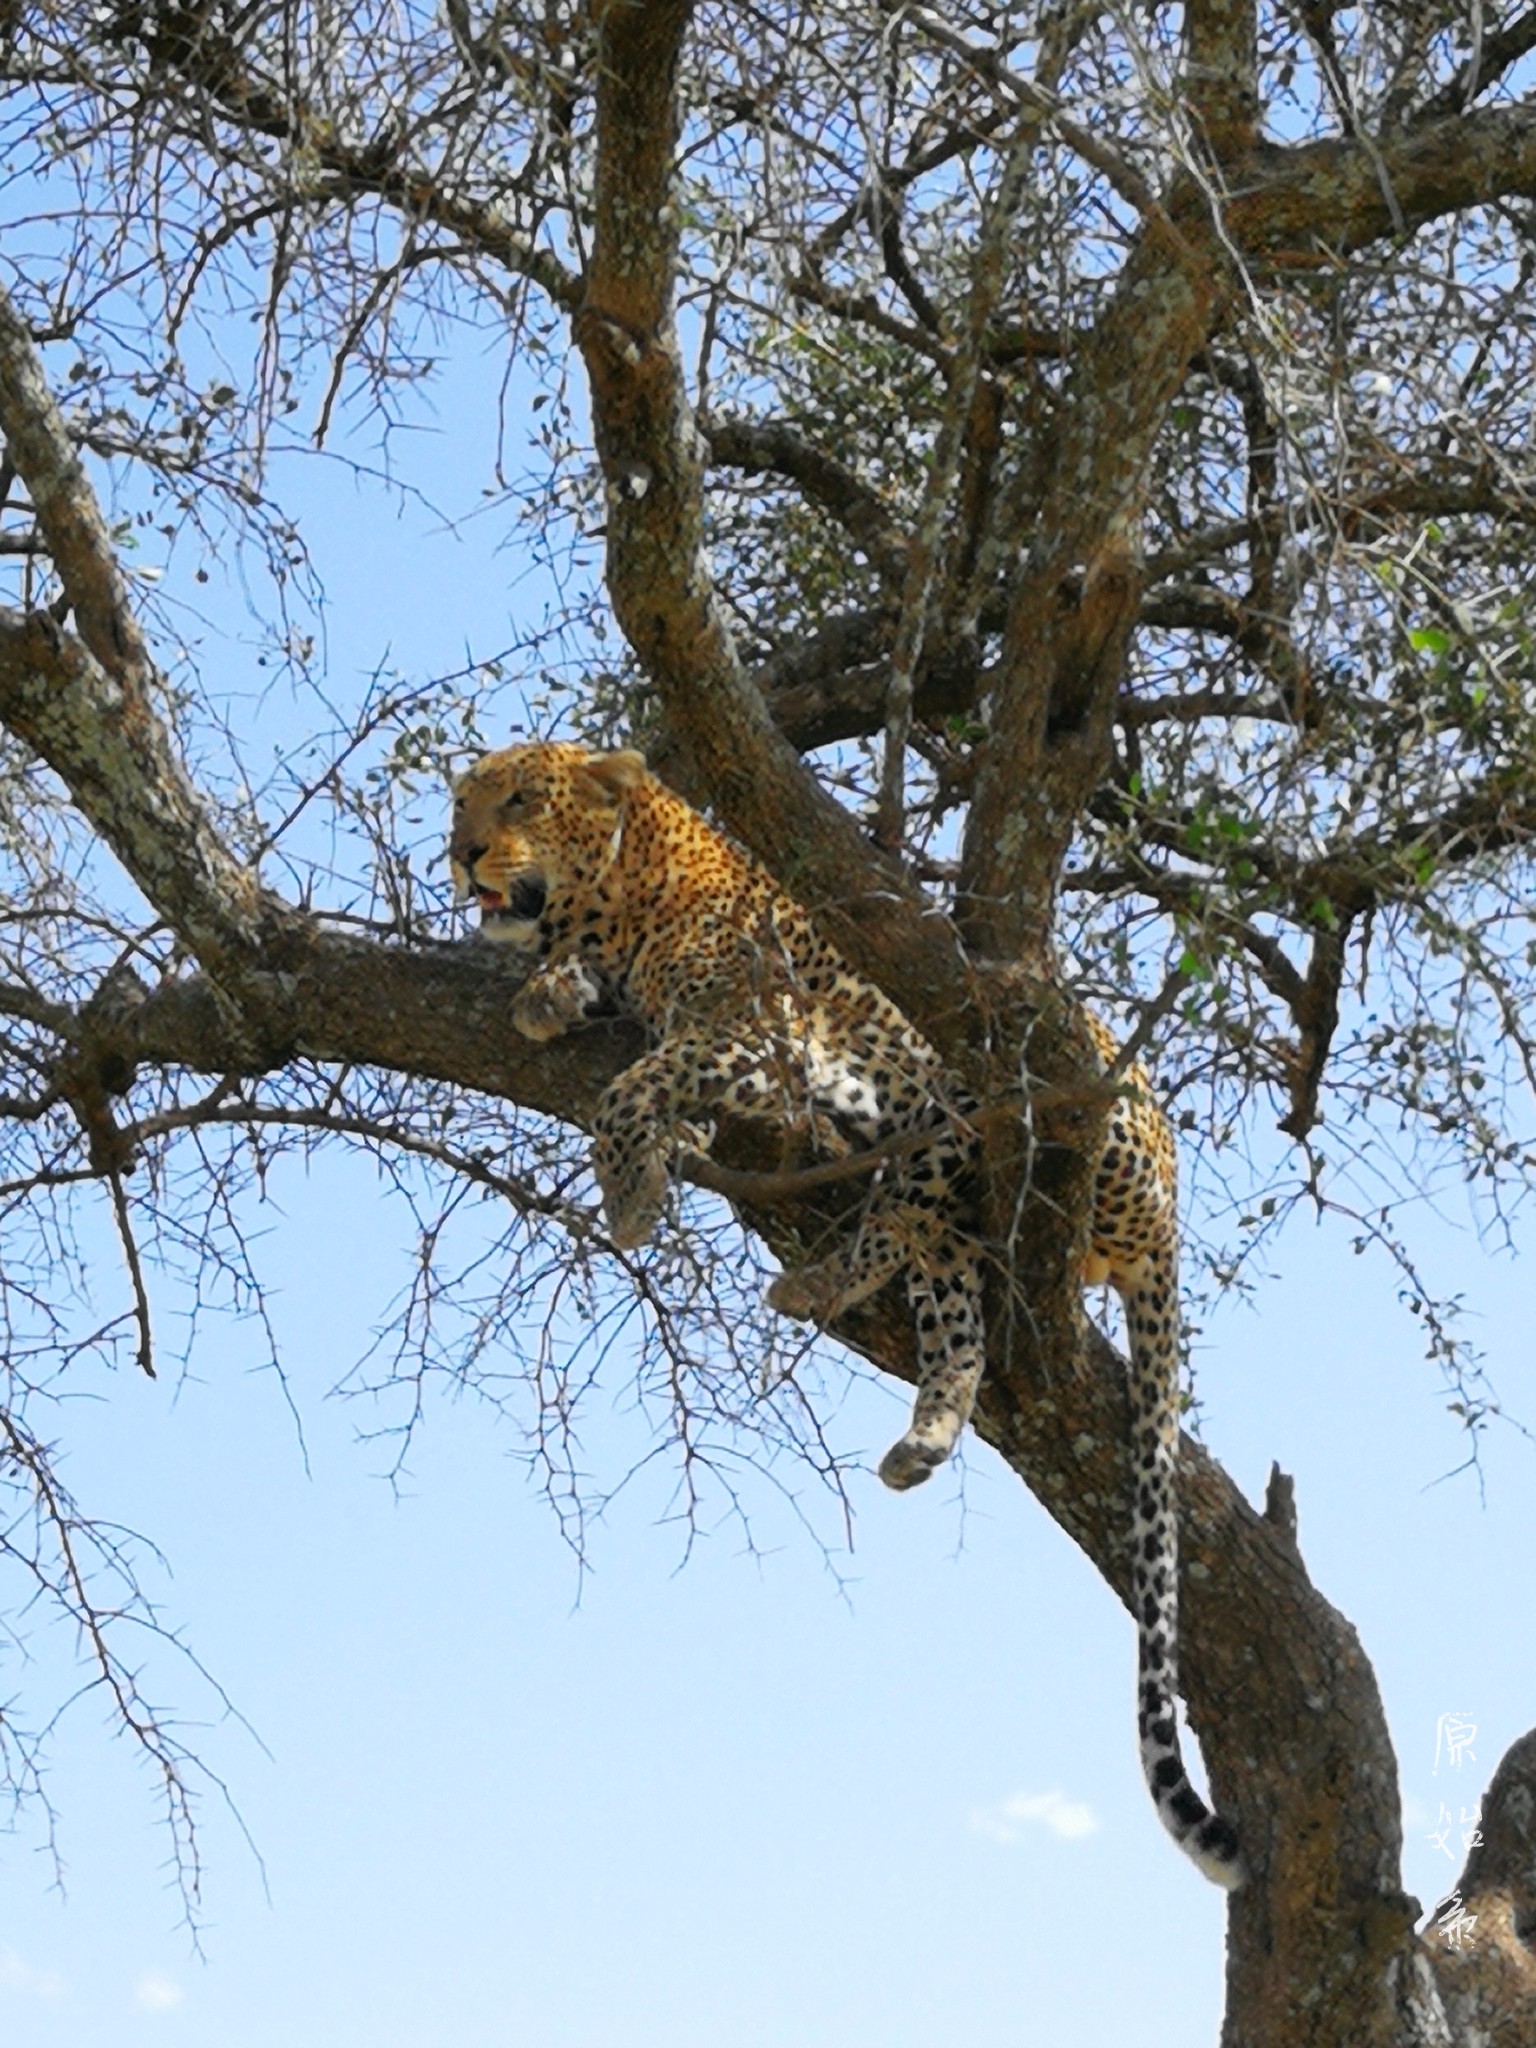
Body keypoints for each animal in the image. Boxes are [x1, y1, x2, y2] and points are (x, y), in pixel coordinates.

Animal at [450, 737, 1245, 1884]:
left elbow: (637, 1081)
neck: (627, 892)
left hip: (982, 1115)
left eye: (518, 799)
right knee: (952, 1297)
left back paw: (814, 1279)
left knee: (907, 1215)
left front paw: (631, 1190)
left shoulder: (751, 1031)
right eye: (461, 801)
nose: (459, 850)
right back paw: (921, 1429)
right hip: (957, 1190)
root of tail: (1171, 1201)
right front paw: (551, 995)